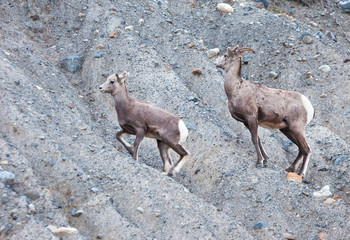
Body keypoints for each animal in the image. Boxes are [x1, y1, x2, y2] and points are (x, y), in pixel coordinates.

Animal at [215, 46, 316, 177]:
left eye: (225, 55)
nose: (216, 63)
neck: (236, 89)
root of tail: (309, 106)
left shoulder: (251, 118)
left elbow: (254, 139)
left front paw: (259, 162)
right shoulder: (246, 122)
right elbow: (258, 139)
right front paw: (266, 160)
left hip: (297, 128)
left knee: (307, 149)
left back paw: (300, 174)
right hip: (286, 130)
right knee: (301, 149)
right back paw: (290, 169)